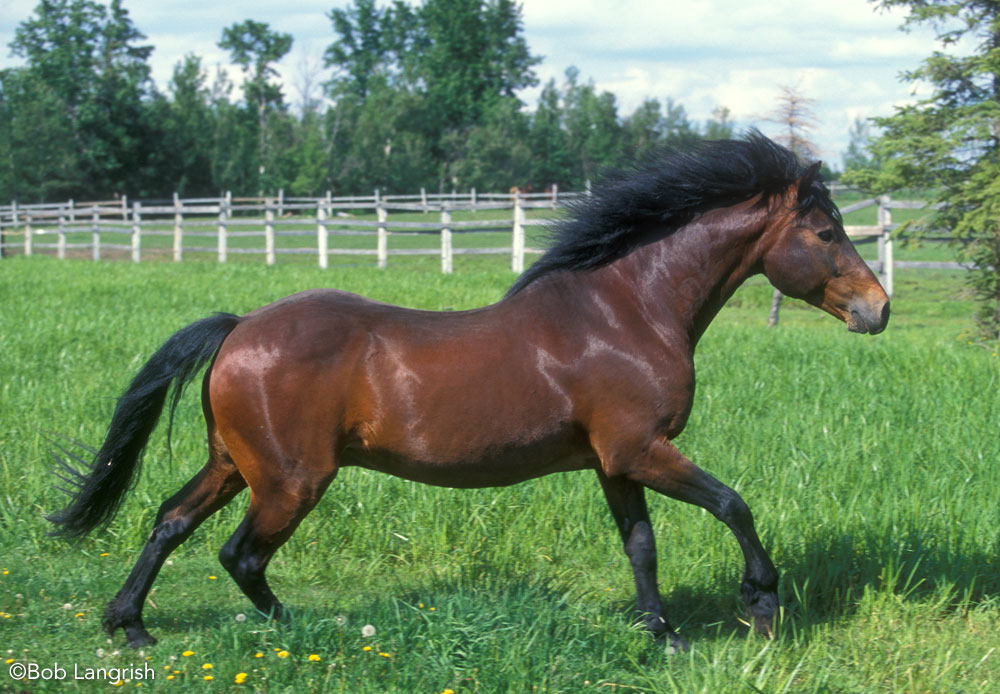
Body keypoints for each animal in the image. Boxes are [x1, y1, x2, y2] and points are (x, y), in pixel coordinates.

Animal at [48, 133, 892, 656]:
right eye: (825, 232)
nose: (878, 309)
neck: (627, 310)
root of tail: (238, 328)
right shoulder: (643, 449)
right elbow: (732, 504)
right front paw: (760, 606)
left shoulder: (615, 462)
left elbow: (642, 546)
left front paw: (663, 634)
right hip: (290, 481)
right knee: (239, 554)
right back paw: (309, 628)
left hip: (234, 464)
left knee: (169, 522)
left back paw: (130, 626)